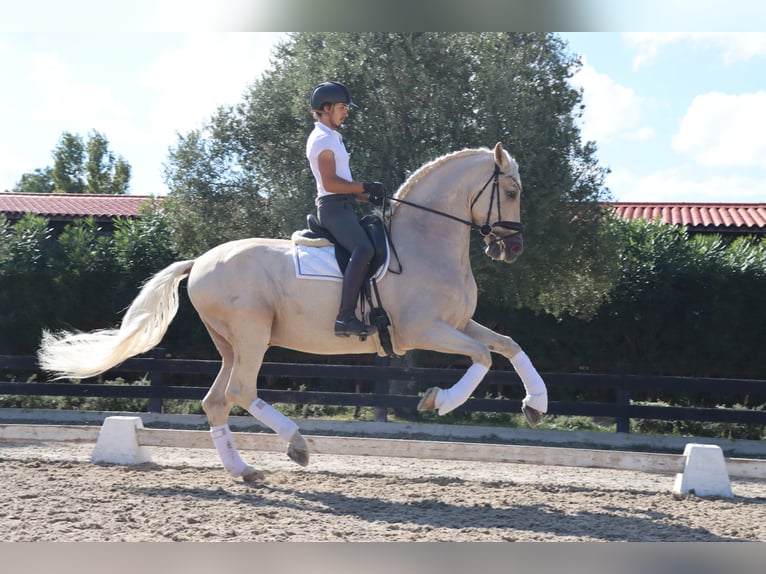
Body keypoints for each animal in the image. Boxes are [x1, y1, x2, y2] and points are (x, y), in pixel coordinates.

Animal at [38, 142, 549, 482]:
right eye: (511, 190)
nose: (513, 249)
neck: (426, 243)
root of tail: (198, 261)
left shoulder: (456, 323)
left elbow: (508, 345)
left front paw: (535, 405)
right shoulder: (423, 329)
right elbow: (483, 357)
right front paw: (438, 401)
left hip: (231, 343)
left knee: (216, 399)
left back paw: (243, 470)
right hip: (252, 335)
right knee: (242, 390)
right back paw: (297, 444)